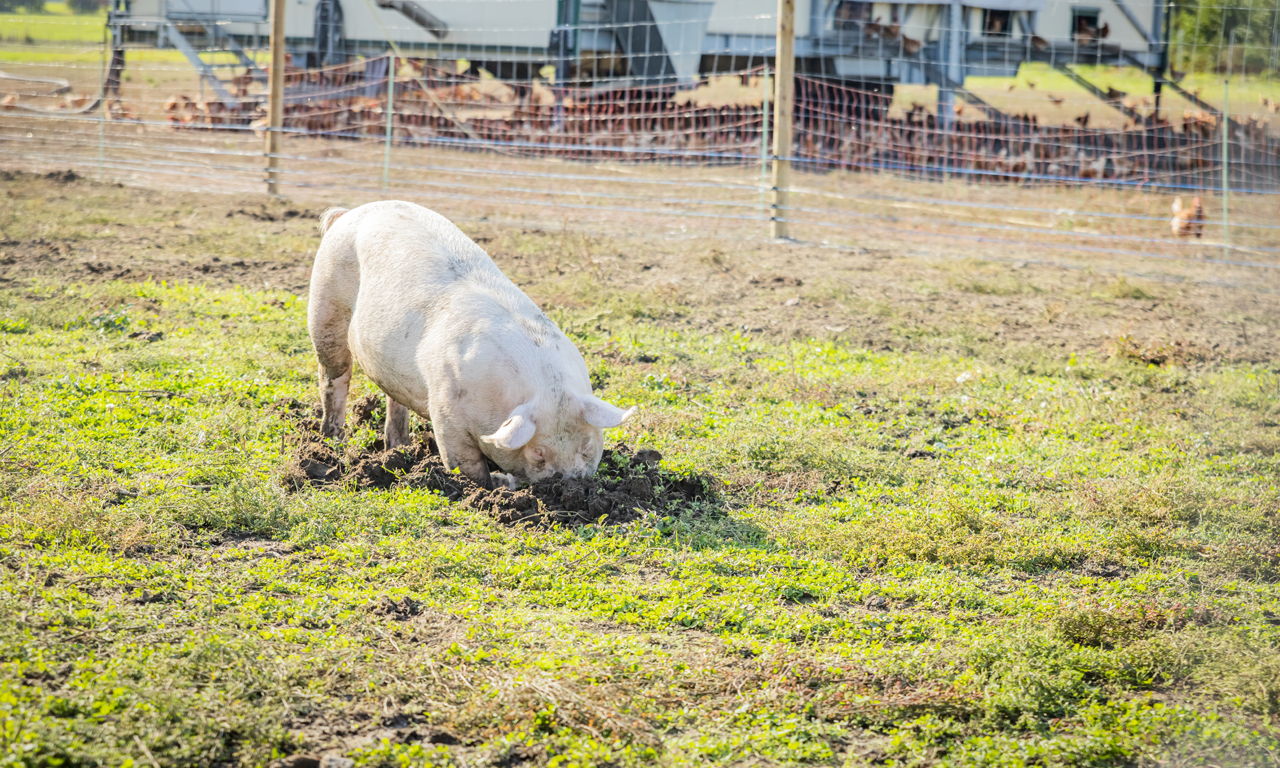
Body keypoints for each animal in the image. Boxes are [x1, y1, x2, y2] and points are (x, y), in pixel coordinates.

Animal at [305, 200, 634, 488]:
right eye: (538, 452)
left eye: (587, 446)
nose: (570, 485)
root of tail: (347, 214)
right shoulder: (445, 410)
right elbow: (466, 465)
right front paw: (487, 488)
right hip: (325, 308)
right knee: (334, 379)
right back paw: (332, 442)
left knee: (393, 398)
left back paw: (398, 448)